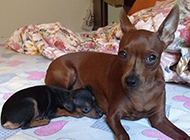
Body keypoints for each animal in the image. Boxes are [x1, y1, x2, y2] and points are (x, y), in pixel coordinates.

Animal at [45, 5, 190, 140]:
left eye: (152, 57)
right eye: (122, 54)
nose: (130, 81)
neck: (142, 91)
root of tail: (54, 61)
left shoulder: (159, 119)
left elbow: (184, 134)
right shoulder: (113, 115)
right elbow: (124, 135)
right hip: (68, 75)